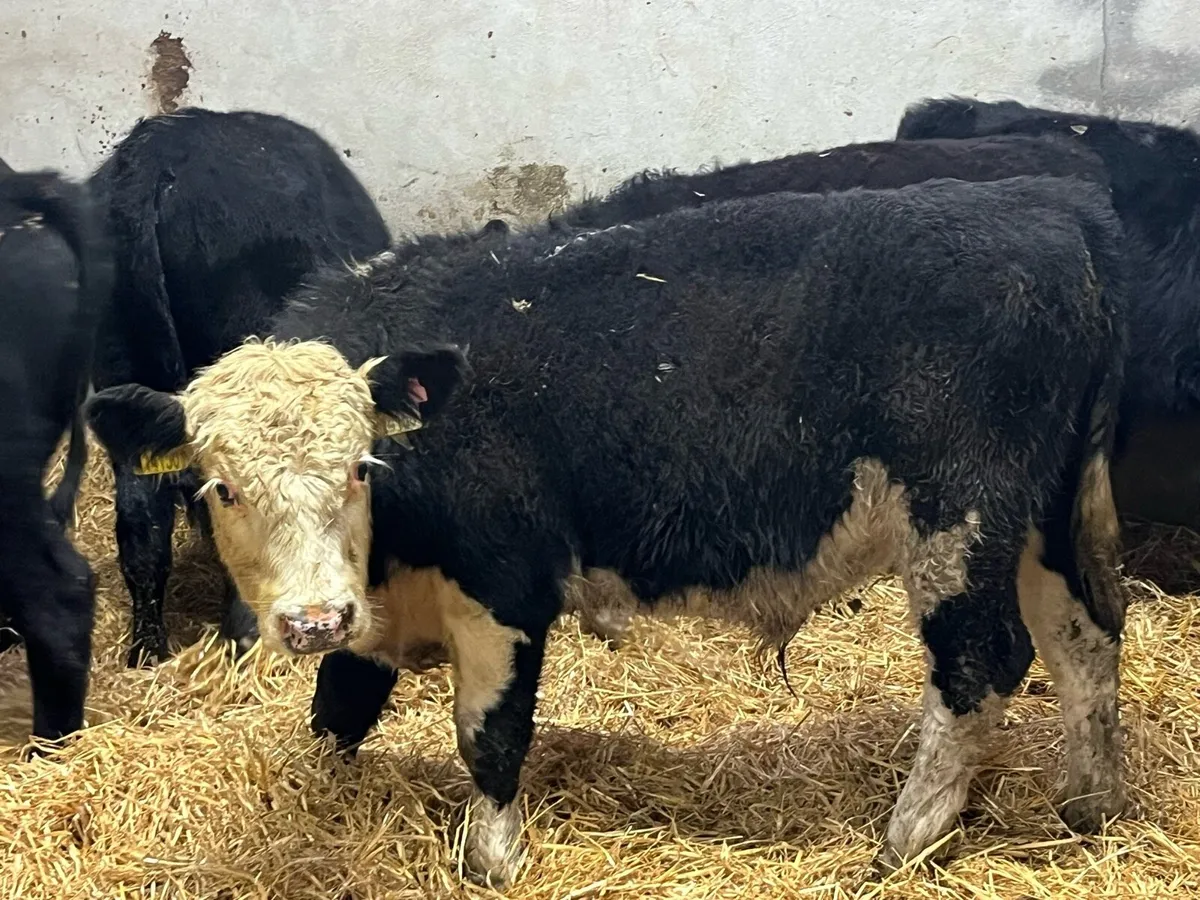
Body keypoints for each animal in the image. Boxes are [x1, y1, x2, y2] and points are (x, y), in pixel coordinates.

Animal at [87, 175, 1130, 887]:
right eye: (221, 488)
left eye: (358, 466)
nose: (309, 621)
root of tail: (1047, 200)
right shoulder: (371, 612)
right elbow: (336, 713)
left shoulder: (502, 590)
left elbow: (490, 737)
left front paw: (493, 859)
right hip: (1041, 518)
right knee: (1083, 638)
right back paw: (1089, 802)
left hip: (959, 520)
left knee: (981, 663)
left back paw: (908, 838)